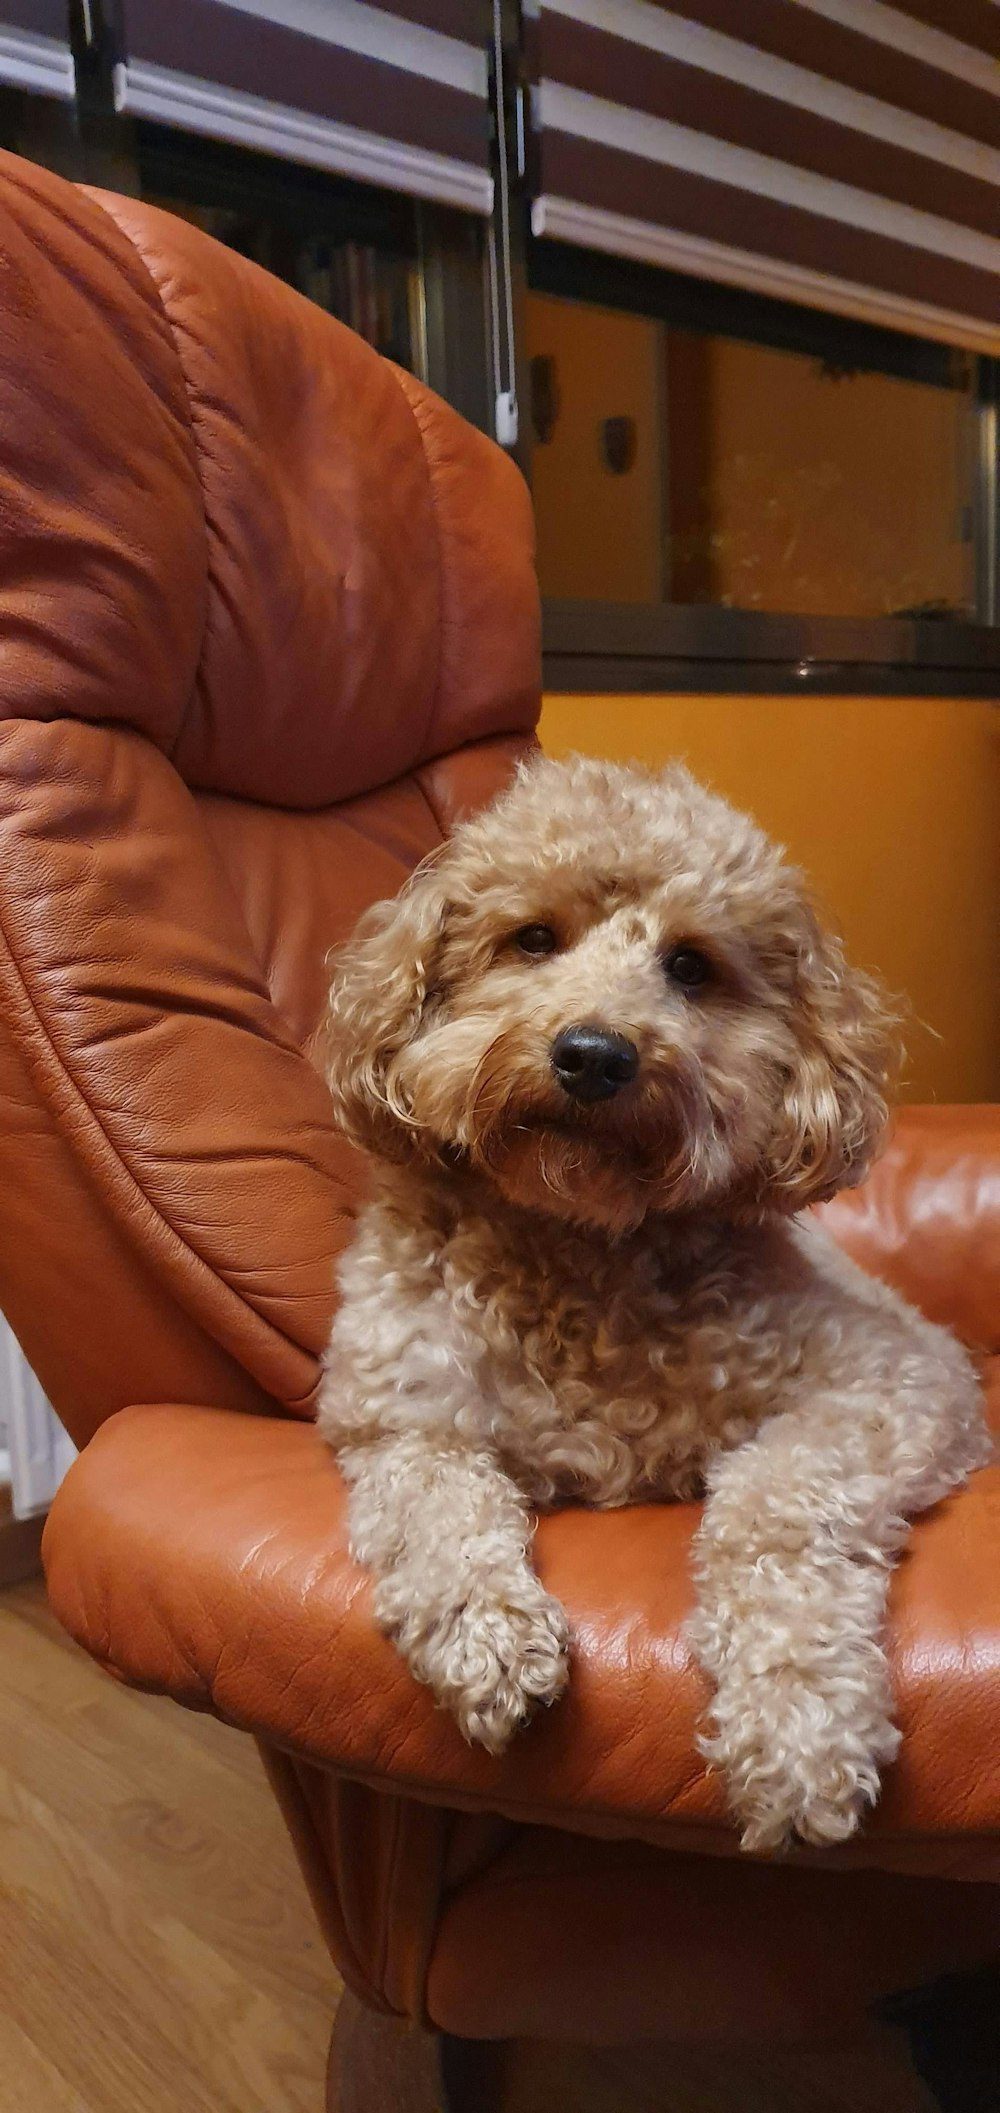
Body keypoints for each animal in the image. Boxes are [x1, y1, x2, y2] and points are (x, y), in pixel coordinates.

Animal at [317, 760, 980, 1850]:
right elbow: (436, 1511)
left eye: (690, 965)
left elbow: (771, 1508)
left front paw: (796, 1726)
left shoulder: (900, 1381)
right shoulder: (399, 1418)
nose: (594, 1054)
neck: (583, 1242)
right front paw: (489, 1637)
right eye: (532, 938)